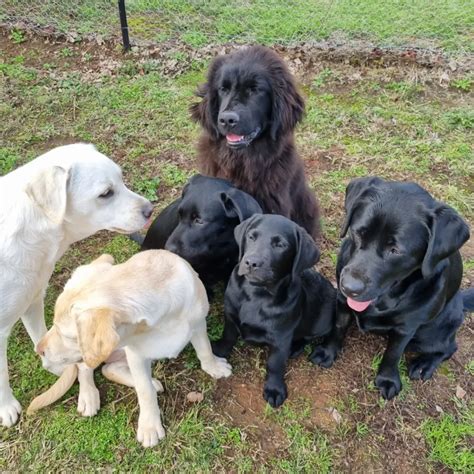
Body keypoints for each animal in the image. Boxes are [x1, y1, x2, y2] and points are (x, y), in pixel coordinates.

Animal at [0, 143, 152, 428]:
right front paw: (5, 406)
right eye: (106, 193)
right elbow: (2, 373)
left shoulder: (33, 300)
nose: (150, 210)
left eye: (121, 178)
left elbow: (42, 337)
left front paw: (57, 365)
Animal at [35, 252, 231, 448]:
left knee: (109, 369)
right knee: (85, 368)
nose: (39, 349)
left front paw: (214, 368)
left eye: (65, 335)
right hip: (96, 353)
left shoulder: (198, 323)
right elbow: (144, 391)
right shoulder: (136, 354)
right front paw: (150, 426)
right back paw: (88, 396)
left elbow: (205, 349)